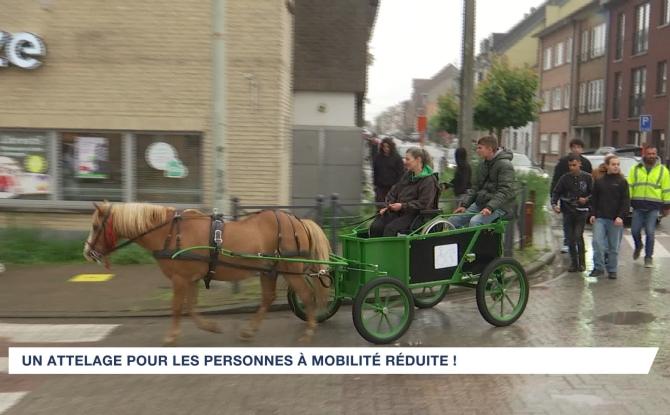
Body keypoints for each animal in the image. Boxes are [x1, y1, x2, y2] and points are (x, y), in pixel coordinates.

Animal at [84, 203, 334, 346]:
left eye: (96, 226)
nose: (87, 252)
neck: (170, 233)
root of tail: (298, 221)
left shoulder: (180, 279)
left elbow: (177, 308)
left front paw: (171, 337)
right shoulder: (191, 279)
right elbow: (191, 308)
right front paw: (211, 327)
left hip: (290, 269)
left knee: (307, 296)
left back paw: (309, 331)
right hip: (269, 271)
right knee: (268, 299)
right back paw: (249, 331)